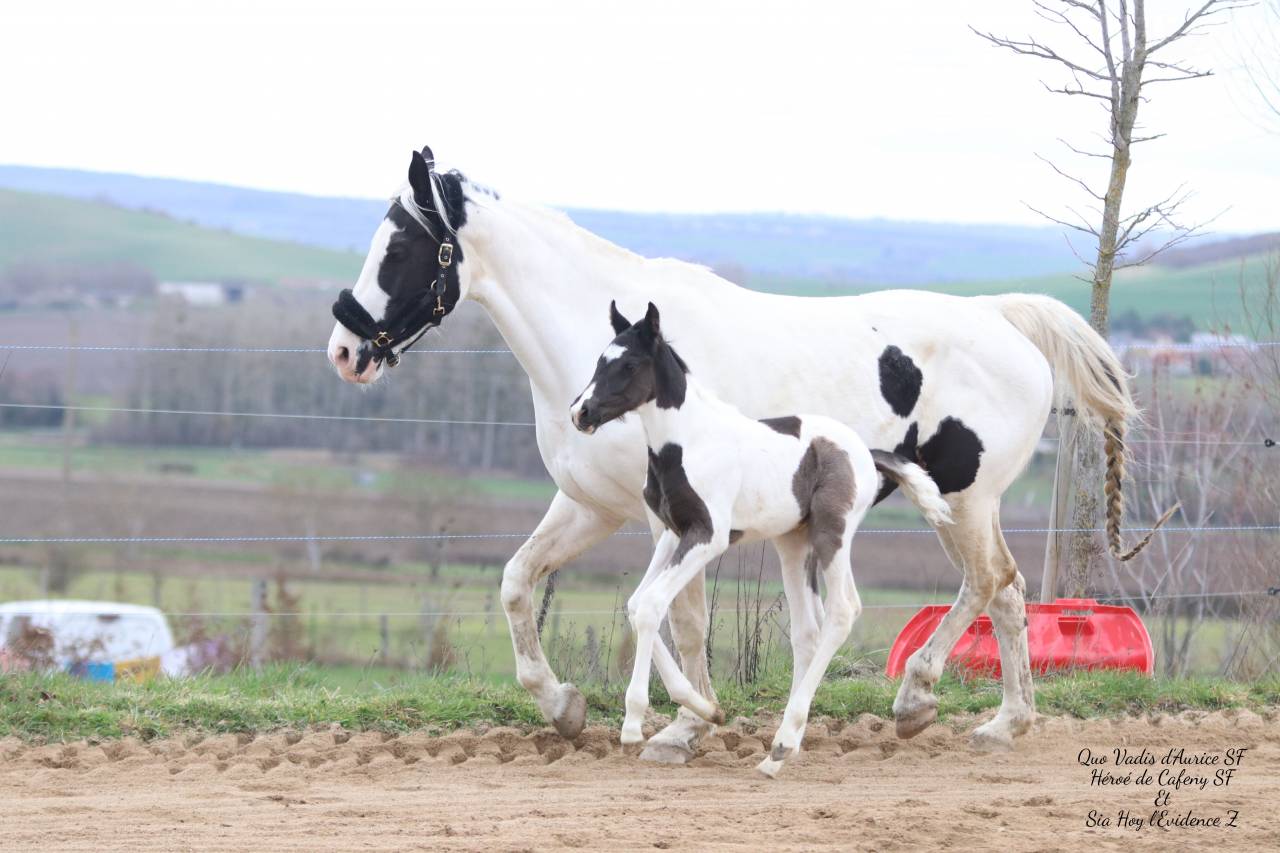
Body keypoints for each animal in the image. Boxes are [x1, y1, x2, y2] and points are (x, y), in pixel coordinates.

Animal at [570, 300, 954, 777]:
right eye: (599, 361)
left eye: (629, 364)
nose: (581, 414)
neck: (687, 443)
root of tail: (865, 452)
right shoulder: (673, 535)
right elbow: (638, 604)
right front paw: (708, 711)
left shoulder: (707, 537)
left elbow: (652, 607)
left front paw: (634, 724)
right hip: (793, 544)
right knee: (808, 631)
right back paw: (777, 753)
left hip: (832, 534)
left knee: (843, 611)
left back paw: (784, 742)